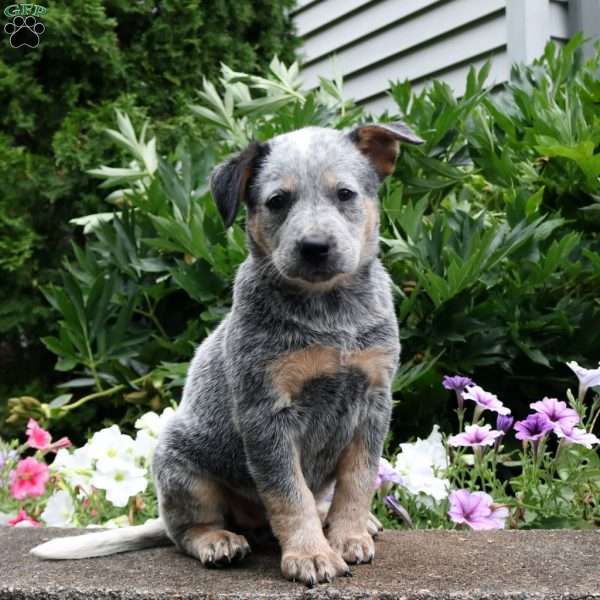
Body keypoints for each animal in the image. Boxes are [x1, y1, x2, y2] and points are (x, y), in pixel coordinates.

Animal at [31, 122, 422, 584]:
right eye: (277, 200)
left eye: (345, 193)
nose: (314, 246)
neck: (329, 314)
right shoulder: (266, 412)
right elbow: (290, 494)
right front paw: (311, 554)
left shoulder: (374, 400)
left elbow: (357, 480)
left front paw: (348, 536)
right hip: (183, 468)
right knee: (187, 530)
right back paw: (218, 541)